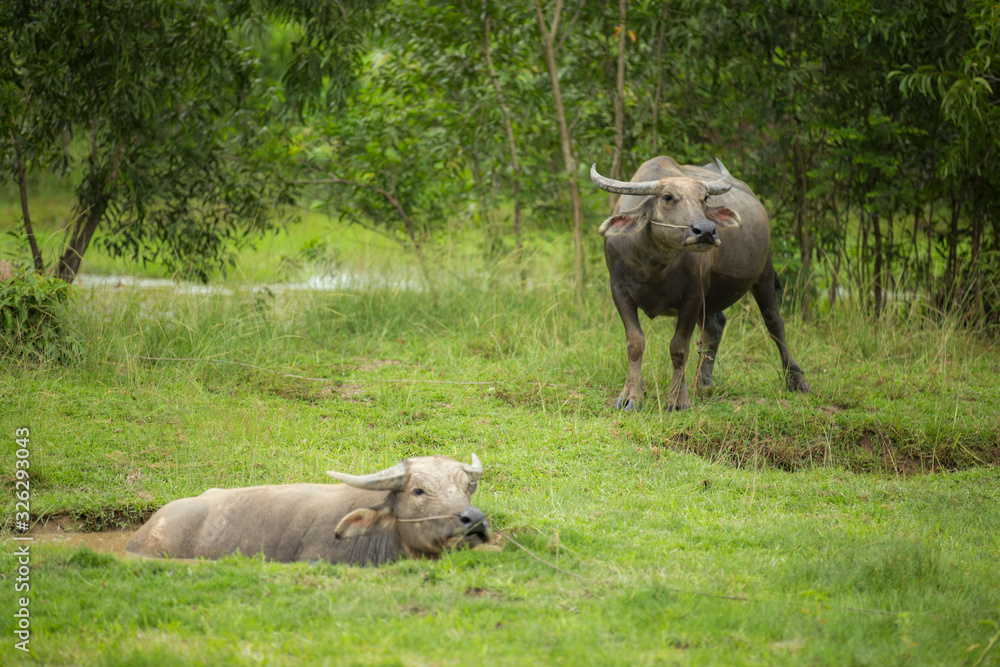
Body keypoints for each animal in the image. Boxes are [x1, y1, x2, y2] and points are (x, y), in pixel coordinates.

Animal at [591, 156, 808, 411]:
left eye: (704, 198)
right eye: (667, 197)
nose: (706, 230)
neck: (654, 265)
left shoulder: (692, 296)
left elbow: (679, 348)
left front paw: (677, 399)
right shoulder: (620, 291)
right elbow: (635, 343)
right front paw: (632, 395)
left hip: (764, 272)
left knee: (774, 322)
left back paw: (796, 379)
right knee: (715, 326)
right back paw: (703, 380)